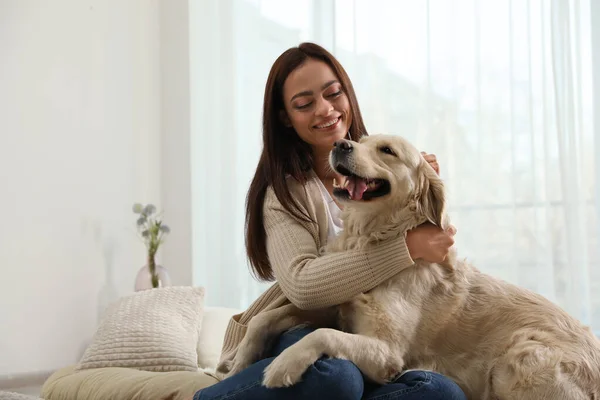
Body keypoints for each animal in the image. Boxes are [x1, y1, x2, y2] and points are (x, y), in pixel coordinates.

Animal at [220, 135, 600, 400]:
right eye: (360, 140)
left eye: (386, 150)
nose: (340, 144)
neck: (372, 238)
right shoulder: (333, 307)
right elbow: (266, 317)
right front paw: (238, 364)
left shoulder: (387, 352)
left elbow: (321, 334)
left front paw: (282, 365)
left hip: (522, 354)